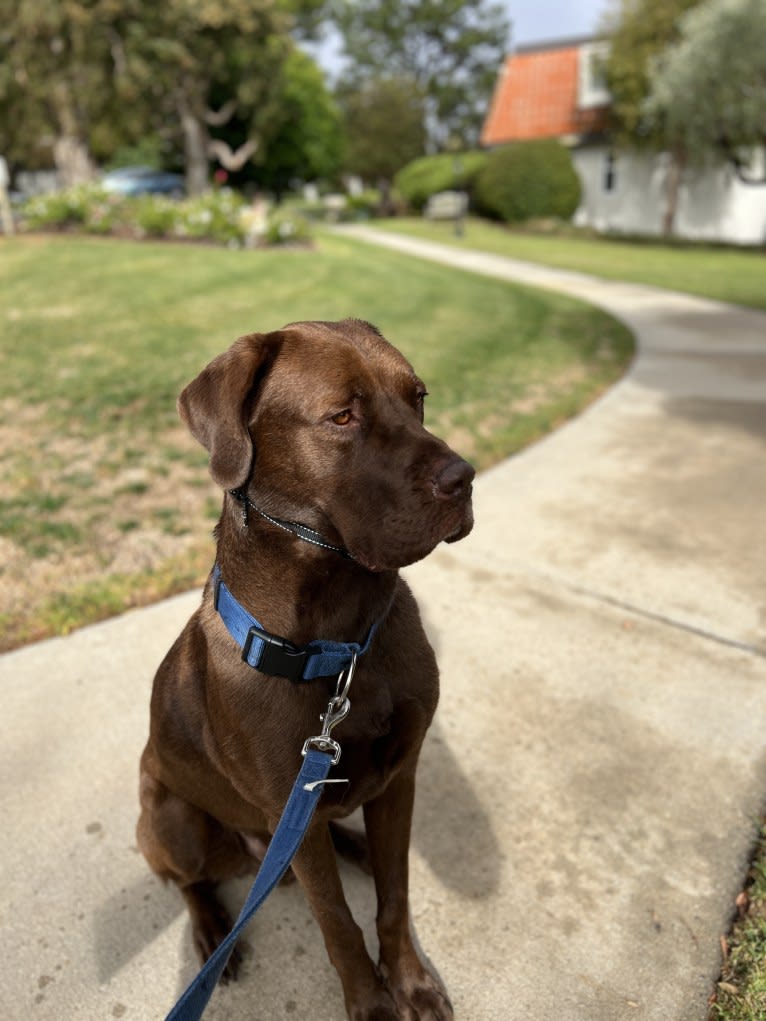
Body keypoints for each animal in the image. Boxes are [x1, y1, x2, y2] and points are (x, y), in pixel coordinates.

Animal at [137, 320, 473, 1021]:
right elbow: (338, 923)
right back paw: (212, 931)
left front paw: (411, 984)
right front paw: (372, 1004)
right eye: (342, 416)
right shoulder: (292, 797)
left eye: (419, 398)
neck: (340, 642)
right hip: (172, 817)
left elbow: (395, 895)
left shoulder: (400, 773)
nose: (465, 478)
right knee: (190, 882)